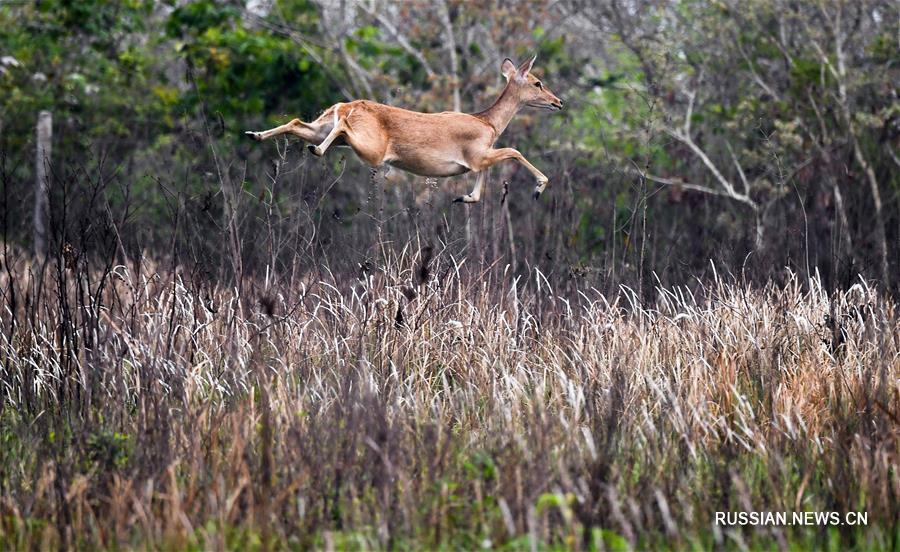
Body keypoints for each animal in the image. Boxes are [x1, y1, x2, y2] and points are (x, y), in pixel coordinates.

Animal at [246, 55, 564, 203]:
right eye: (538, 82)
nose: (559, 102)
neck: (489, 123)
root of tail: (346, 106)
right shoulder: (477, 154)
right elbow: (514, 150)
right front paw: (539, 188)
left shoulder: (478, 159)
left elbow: (481, 187)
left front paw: (463, 198)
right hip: (370, 147)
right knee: (341, 127)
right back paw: (315, 150)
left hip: (323, 126)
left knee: (298, 123)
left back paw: (255, 134)